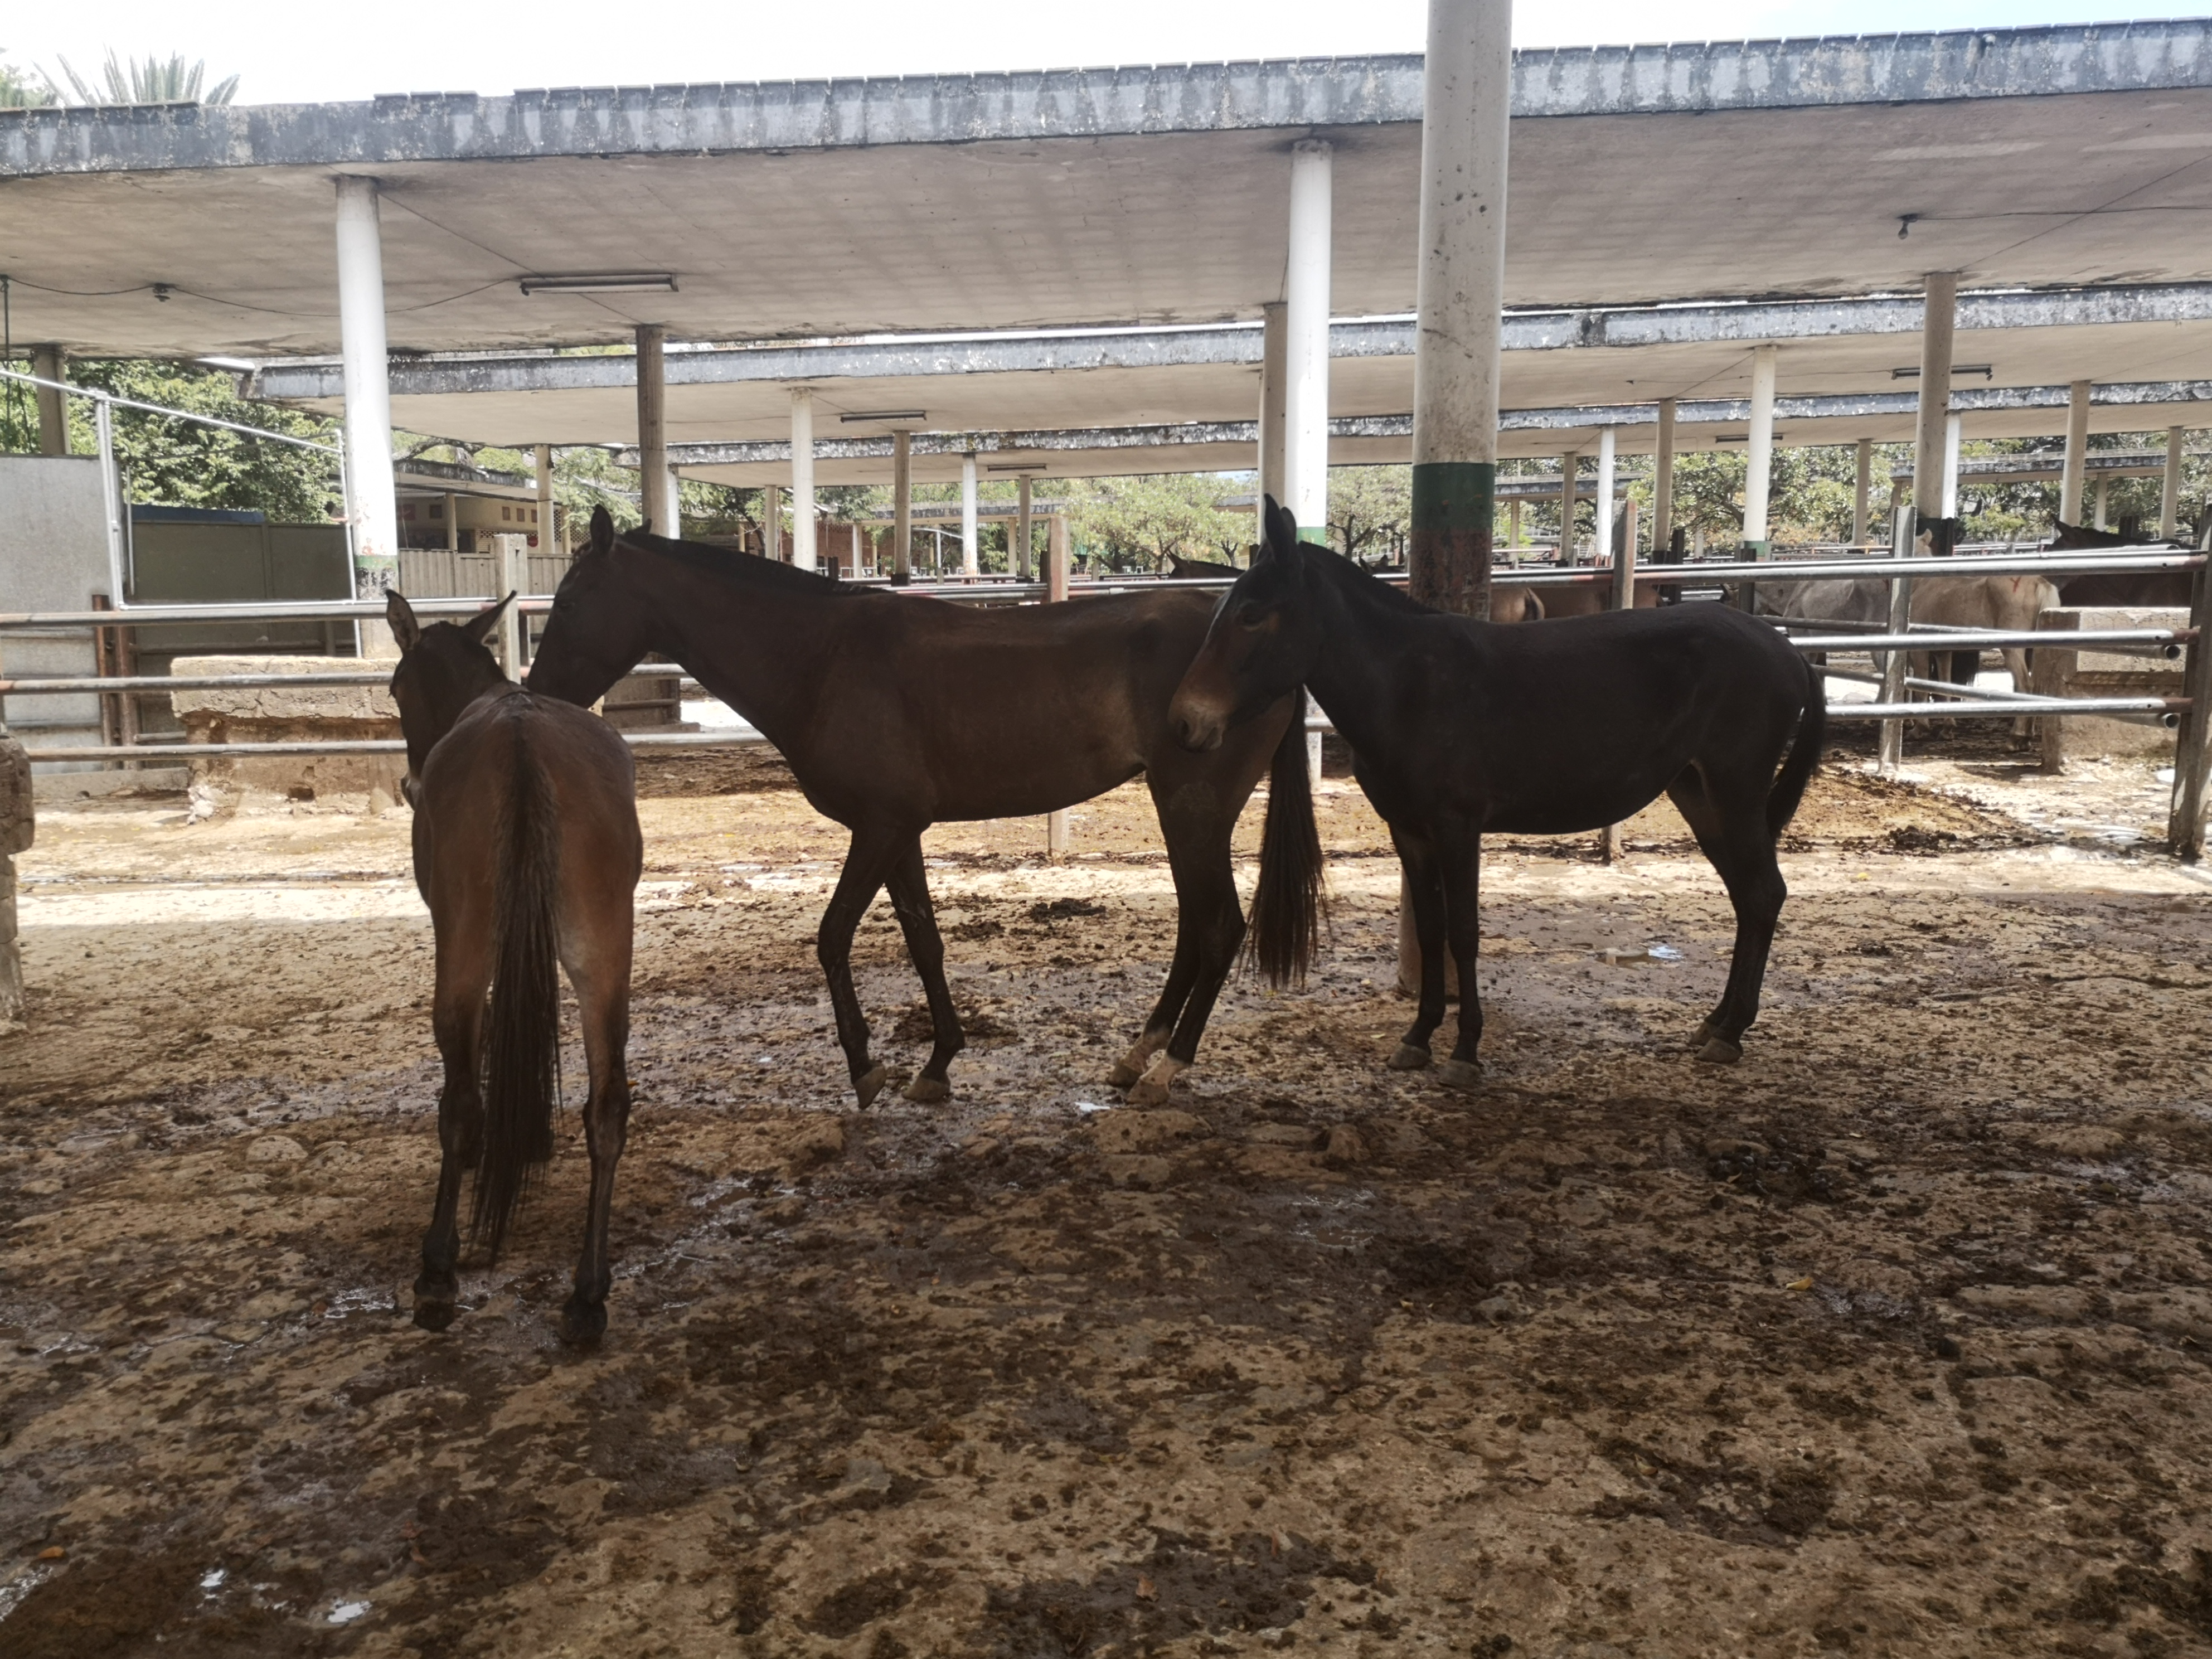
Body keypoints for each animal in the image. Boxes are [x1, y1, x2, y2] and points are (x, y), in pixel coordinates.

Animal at [385, 591, 643, 1345]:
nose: (409, 782)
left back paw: (437, 1270)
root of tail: (522, 749)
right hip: (602, 954)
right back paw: (587, 1295)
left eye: (396, 688)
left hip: (465, 944)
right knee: (608, 1105)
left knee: (458, 1101)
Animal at [525, 507, 1315, 1109]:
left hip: (1193, 810)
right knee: (1194, 931)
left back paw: (1167, 1068)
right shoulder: (899, 831)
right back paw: (1136, 1057)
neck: (822, 658)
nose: (536, 700)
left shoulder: (878, 828)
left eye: (567, 603)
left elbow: (833, 936)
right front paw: (937, 1064)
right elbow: (923, 940)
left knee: (1218, 929)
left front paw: (865, 1069)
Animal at [1169, 498, 1825, 1084]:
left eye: (1252, 615)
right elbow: (1430, 930)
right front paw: (1418, 1038)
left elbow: (1463, 932)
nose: (1184, 723)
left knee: (1763, 894)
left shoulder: (1457, 828)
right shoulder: (1409, 831)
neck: (1410, 687)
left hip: (1735, 792)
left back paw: (1731, 1032)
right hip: (1699, 796)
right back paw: (1716, 1023)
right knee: (1748, 898)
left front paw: (1465, 1051)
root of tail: (1786, 649)